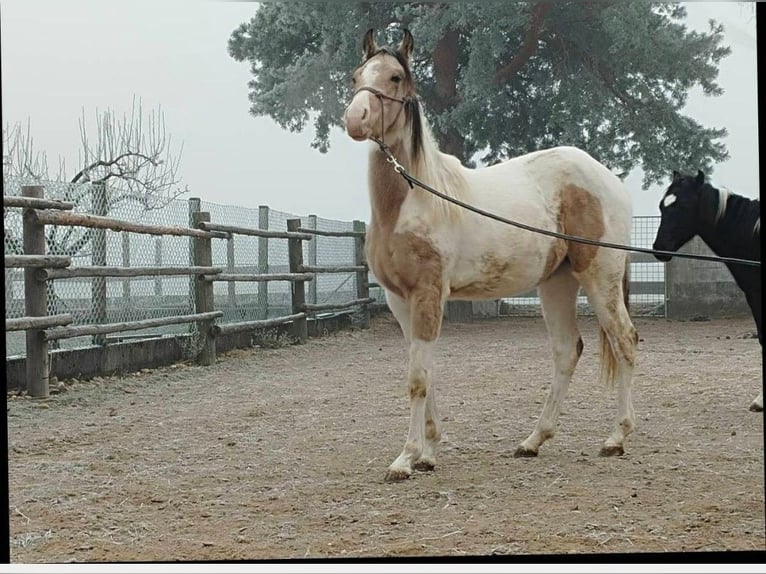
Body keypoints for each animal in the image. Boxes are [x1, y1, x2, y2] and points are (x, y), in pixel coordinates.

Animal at [344, 30, 640, 482]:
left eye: (395, 77)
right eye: (357, 76)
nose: (355, 119)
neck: (415, 199)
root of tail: (609, 179)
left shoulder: (429, 293)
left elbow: (417, 378)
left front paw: (405, 459)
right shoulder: (399, 300)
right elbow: (426, 371)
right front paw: (428, 454)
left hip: (599, 277)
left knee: (624, 341)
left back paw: (615, 439)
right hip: (556, 283)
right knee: (566, 350)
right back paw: (533, 441)